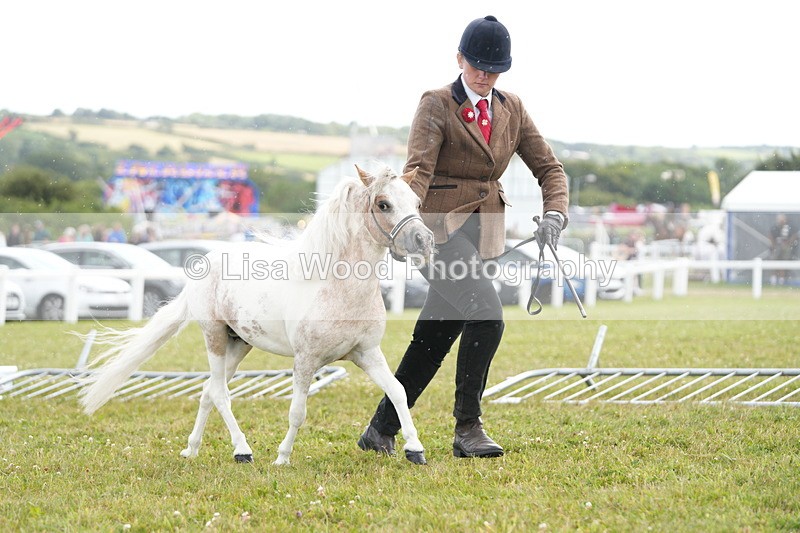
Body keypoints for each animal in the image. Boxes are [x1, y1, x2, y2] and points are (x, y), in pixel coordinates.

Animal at [79, 164, 435, 465]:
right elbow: (297, 412)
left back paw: (192, 449)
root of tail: (206, 263)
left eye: (417, 202)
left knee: (208, 392)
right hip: (214, 337)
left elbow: (398, 391)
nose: (423, 240)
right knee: (219, 393)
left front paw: (415, 449)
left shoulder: (367, 353)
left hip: (239, 343)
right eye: (383, 204)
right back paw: (242, 450)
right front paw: (282, 457)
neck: (336, 286)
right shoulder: (305, 360)